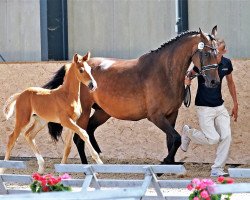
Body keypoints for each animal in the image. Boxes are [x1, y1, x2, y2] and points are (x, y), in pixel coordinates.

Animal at [46, 27, 220, 166]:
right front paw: (165, 162)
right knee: (80, 138)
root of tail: (74, 66)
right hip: (85, 111)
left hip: (102, 112)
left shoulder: (171, 115)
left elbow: (171, 141)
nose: (214, 82)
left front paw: (169, 164)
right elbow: (176, 138)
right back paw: (85, 166)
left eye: (217, 53)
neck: (164, 72)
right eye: (206, 53)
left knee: (89, 131)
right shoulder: (156, 116)